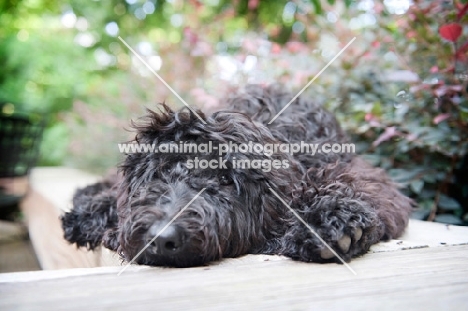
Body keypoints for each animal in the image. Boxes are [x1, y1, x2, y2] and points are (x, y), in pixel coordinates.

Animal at [61, 84, 414, 268]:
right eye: (158, 174)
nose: (161, 238)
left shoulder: (354, 167)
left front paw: (331, 219)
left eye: (224, 181)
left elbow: (361, 185)